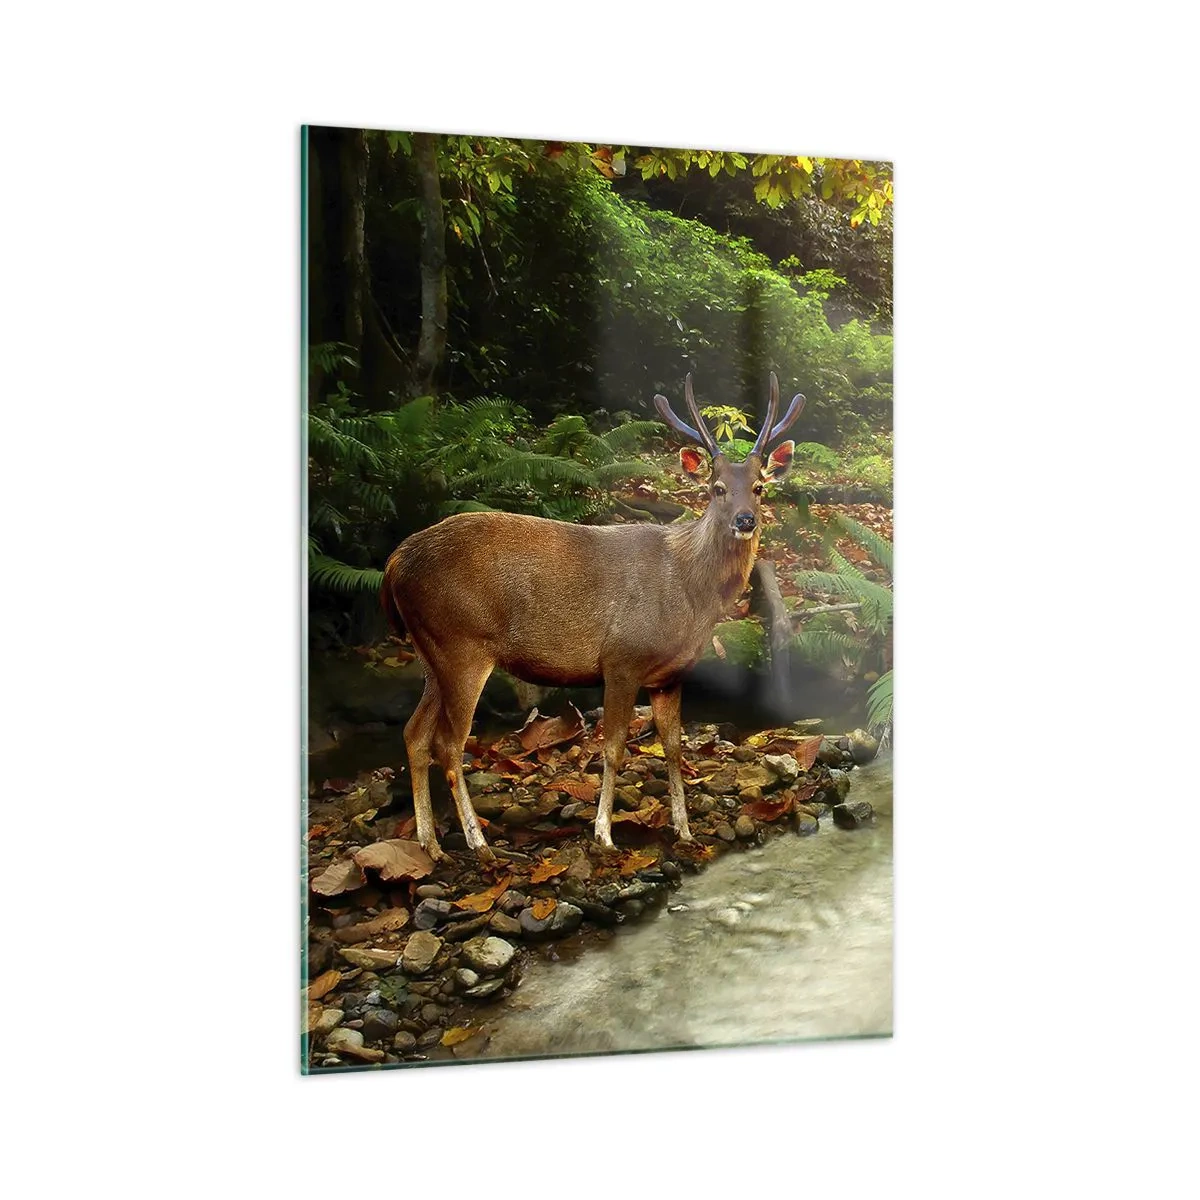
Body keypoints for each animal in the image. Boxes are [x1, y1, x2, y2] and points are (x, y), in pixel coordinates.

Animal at [381, 372, 804, 862]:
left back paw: (431, 844)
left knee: (413, 734)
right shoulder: (622, 658)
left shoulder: (670, 675)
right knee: (448, 745)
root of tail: (393, 563)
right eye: (716, 488)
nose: (744, 520)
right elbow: (614, 747)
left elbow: (674, 747)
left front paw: (683, 830)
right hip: (461, 644)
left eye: (759, 486)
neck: (688, 595)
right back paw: (479, 842)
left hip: (432, 653)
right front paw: (603, 833)